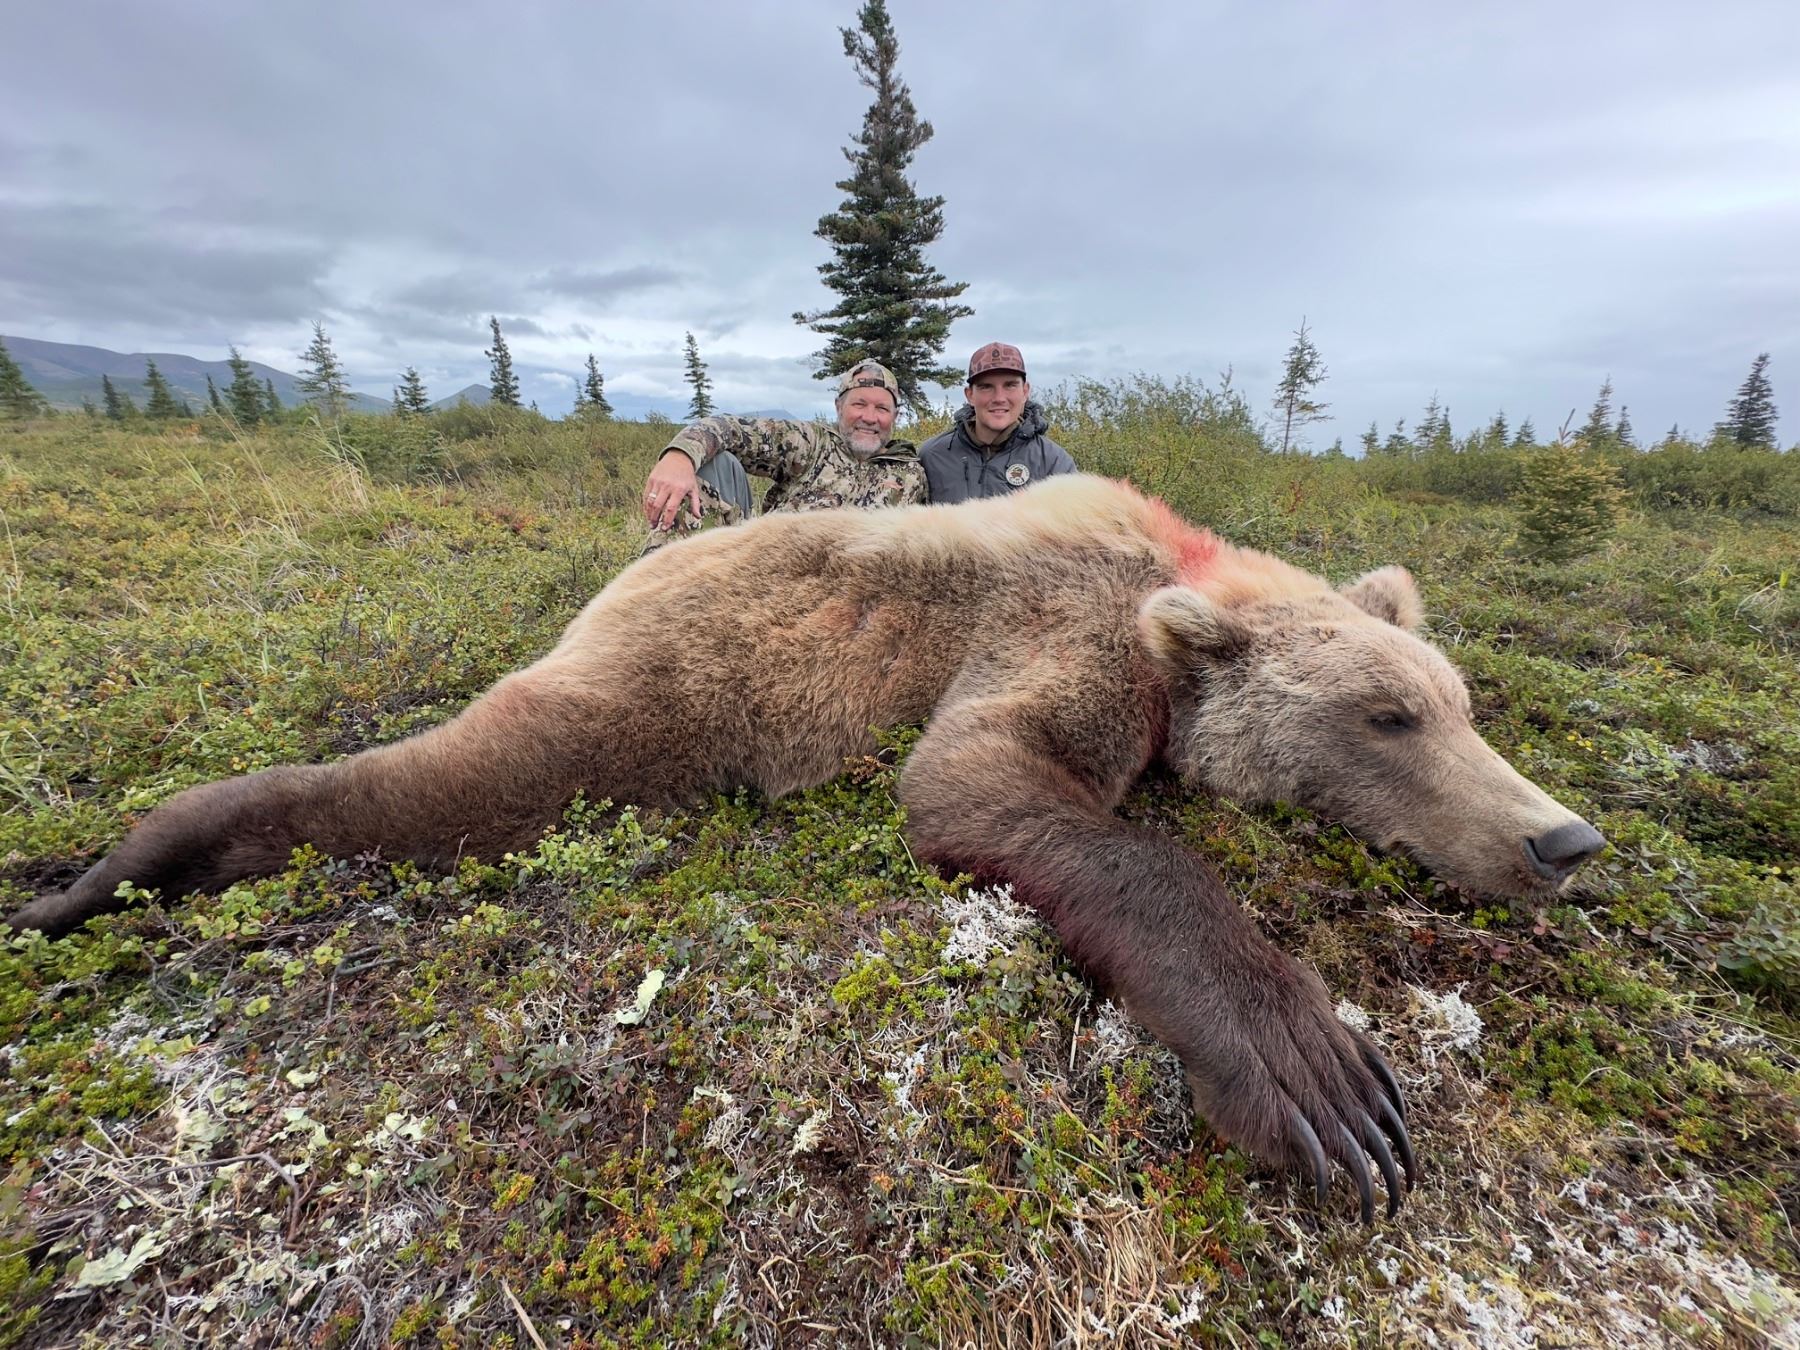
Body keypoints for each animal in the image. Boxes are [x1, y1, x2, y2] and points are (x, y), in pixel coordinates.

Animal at [5, 474, 1604, 1222]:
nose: (1563, 838)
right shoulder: (1063, 632)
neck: (1179, 579)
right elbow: (982, 783)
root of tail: (626, 570)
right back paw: (93, 879)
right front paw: (1315, 1074)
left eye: (1460, 700)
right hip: (655, 691)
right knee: (427, 782)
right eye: (1387, 714)